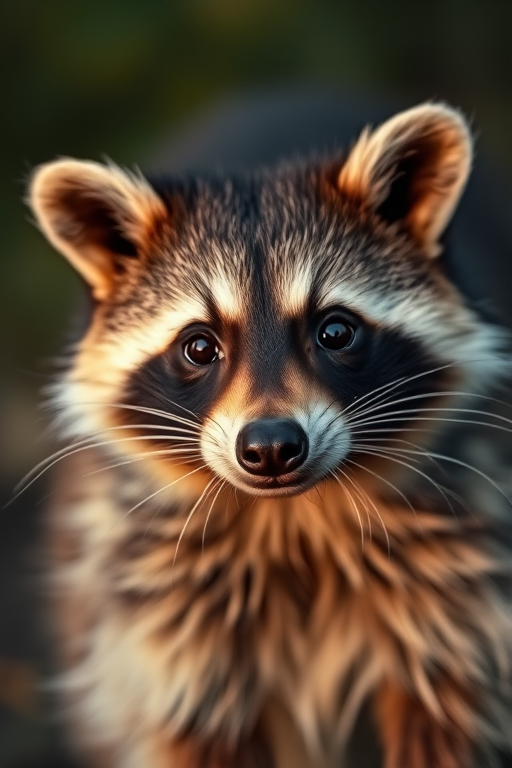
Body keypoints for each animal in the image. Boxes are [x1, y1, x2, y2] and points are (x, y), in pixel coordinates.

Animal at [27, 103, 512, 768]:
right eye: (198, 346)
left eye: (335, 331)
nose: (272, 447)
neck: (294, 519)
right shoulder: (169, 632)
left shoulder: (456, 603)